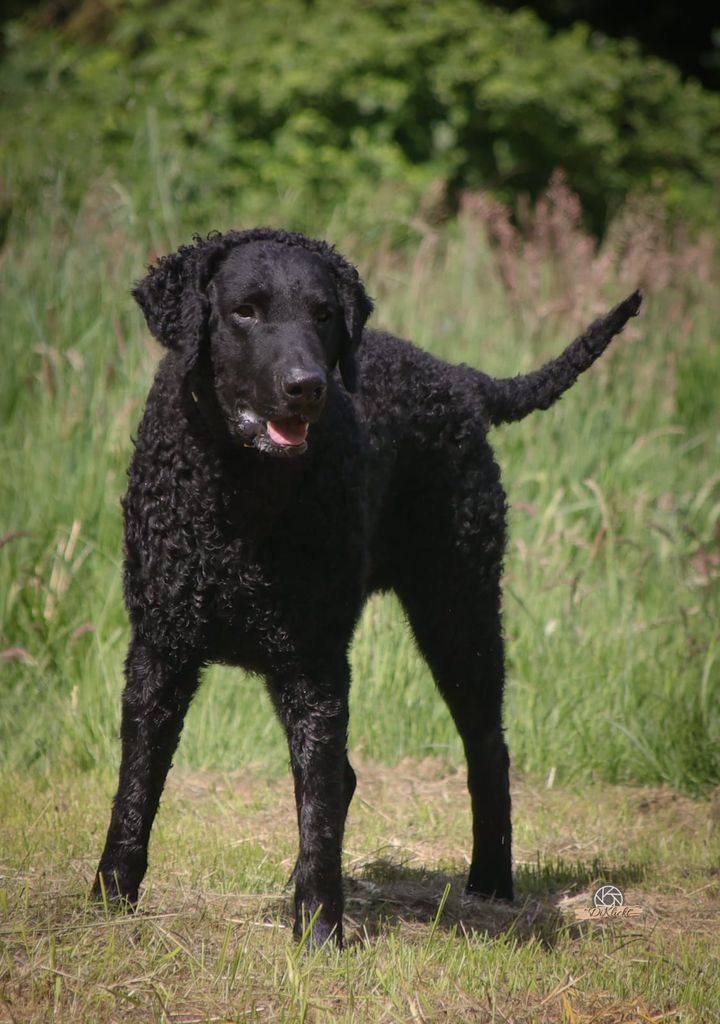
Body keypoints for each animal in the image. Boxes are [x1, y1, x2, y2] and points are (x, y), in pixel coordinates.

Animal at [91, 230, 643, 942]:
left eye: (324, 314)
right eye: (245, 311)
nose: (307, 387)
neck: (242, 499)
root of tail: (461, 378)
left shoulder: (318, 662)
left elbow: (319, 805)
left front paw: (320, 931)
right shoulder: (161, 651)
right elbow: (137, 789)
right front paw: (109, 898)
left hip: (459, 609)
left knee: (486, 753)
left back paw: (490, 883)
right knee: (349, 777)